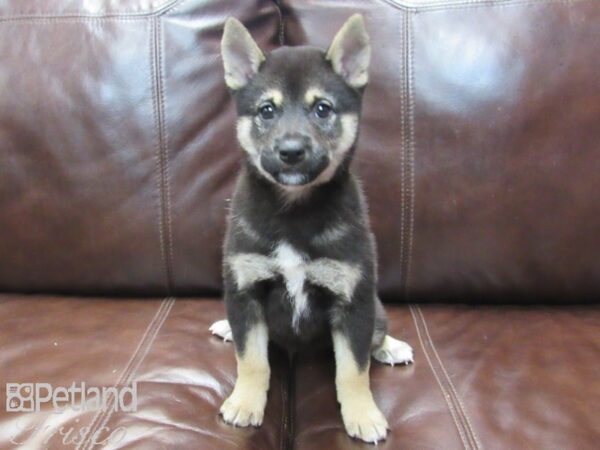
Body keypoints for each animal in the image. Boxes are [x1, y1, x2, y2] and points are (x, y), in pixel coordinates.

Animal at [210, 14, 412, 442]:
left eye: (322, 109)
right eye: (266, 110)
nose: (291, 152)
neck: (294, 212)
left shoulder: (352, 301)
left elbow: (353, 370)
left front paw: (363, 413)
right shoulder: (246, 291)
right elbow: (251, 360)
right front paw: (245, 402)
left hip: (373, 307)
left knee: (376, 333)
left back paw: (390, 346)